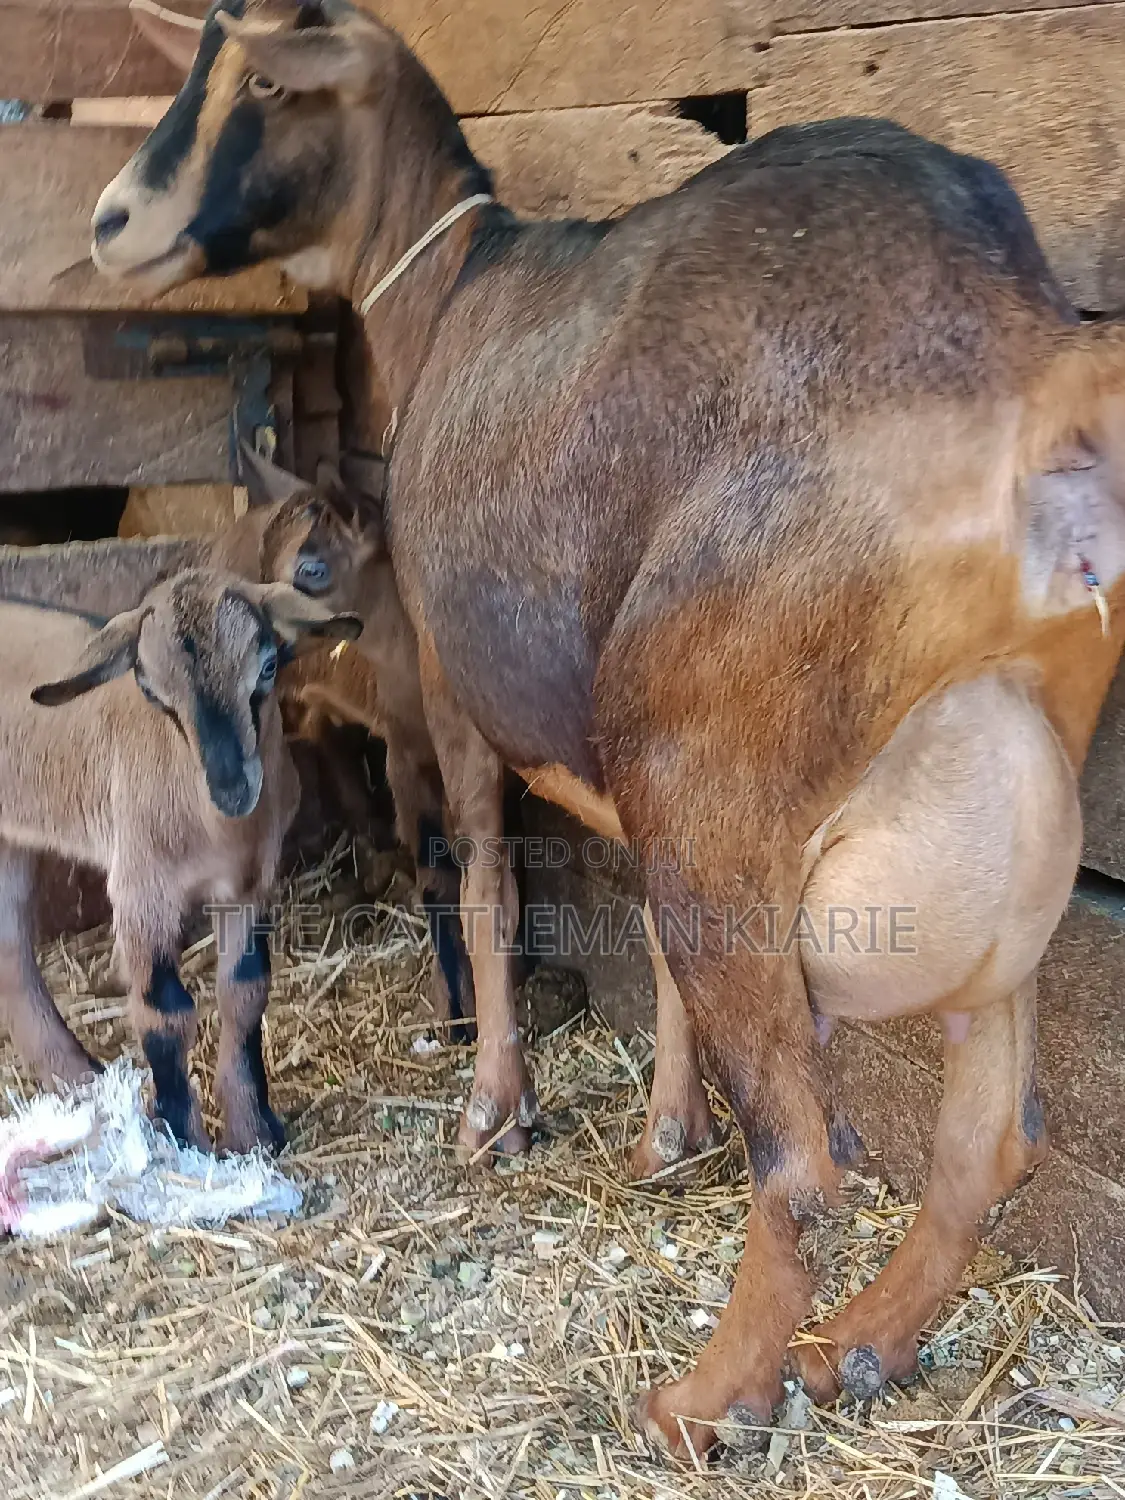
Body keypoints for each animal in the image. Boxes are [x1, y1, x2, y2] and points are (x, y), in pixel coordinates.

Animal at [0, 568, 360, 1152]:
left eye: (268, 665)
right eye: (151, 690)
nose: (232, 789)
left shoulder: (252, 885)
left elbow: (246, 991)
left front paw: (253, 1131)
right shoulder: (141, 888)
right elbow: (163, 1011)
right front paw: (184, 1138)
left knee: (10, 947)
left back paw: (78, 1078)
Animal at [94, 3, 1125, 1451]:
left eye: (261, 80)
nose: (113, 219)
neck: (452, 293)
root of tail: (1035, 363)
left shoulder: (455, 688)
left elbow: (483, 882)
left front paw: (495, 1107)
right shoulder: (607, 759)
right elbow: (636, 929)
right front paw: (663, 1134)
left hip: (713, 766)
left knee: (805, 1163)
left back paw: (709, 1402)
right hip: (1000, 793)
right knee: (987, 1140)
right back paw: (860, 1348)